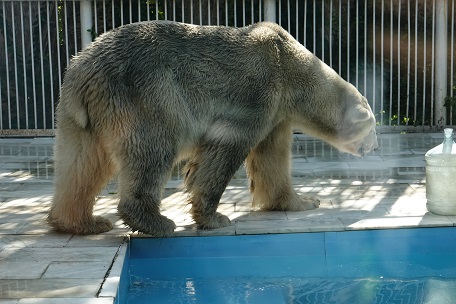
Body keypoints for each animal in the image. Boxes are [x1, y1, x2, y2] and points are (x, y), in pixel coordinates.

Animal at [49, 20, 378, 235]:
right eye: (373, 128)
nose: (374, 147)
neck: (290, 67)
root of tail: (84, 67)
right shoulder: (256, 93)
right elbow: (225, 148)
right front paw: (214, 218)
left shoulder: (276, 113)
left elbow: (272, 158)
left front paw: (304, 201)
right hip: (146, 93)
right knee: (153, 149)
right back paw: (156, 222)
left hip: (77, 111)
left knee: (81, 162)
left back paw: (82, 222)